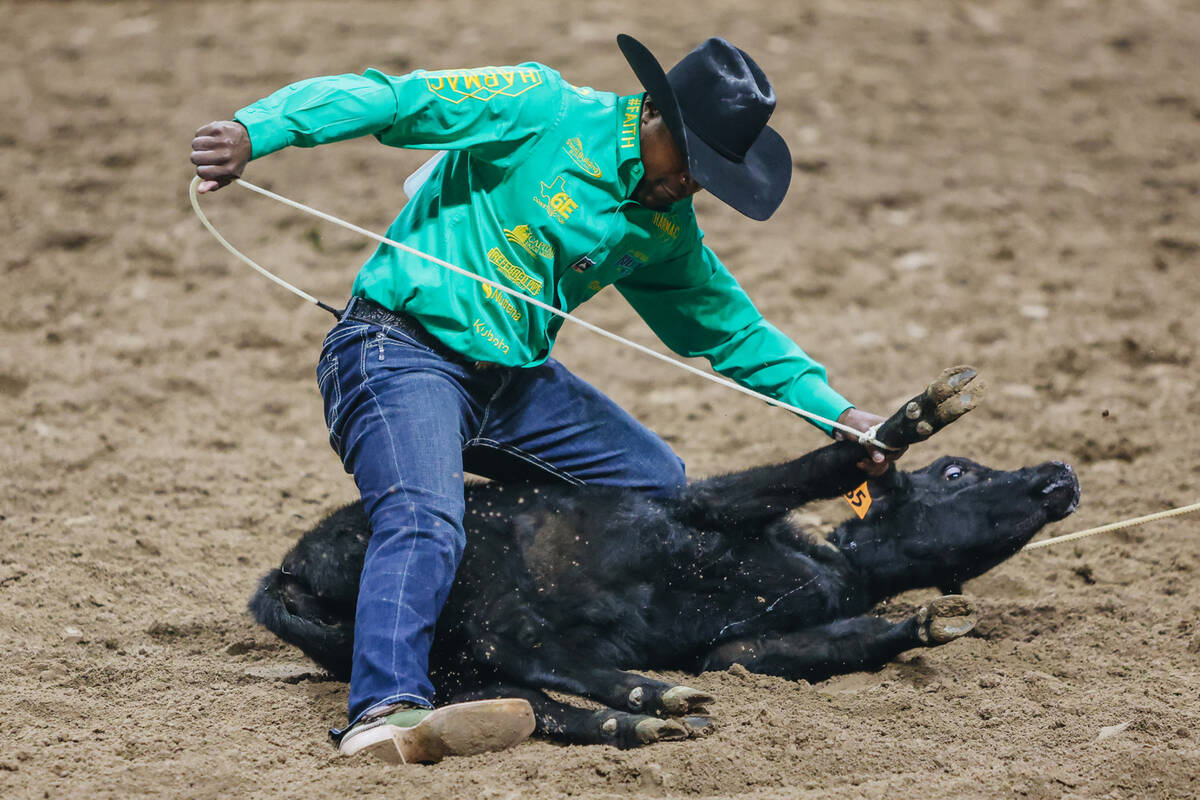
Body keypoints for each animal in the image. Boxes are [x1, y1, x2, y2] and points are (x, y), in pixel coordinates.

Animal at [250, 369, 1080, 753]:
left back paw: (640, 723)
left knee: (535, 700)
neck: (834, 563)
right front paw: (918, 415)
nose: (1061, 473)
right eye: (957, 472)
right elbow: (810, 467)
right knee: (528, 650)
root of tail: (282, 575)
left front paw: (933, 621)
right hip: (477, 586)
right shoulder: (704, 506)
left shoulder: (740, 647)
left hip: (457, 668)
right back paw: (652, 695)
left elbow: (812, 647)